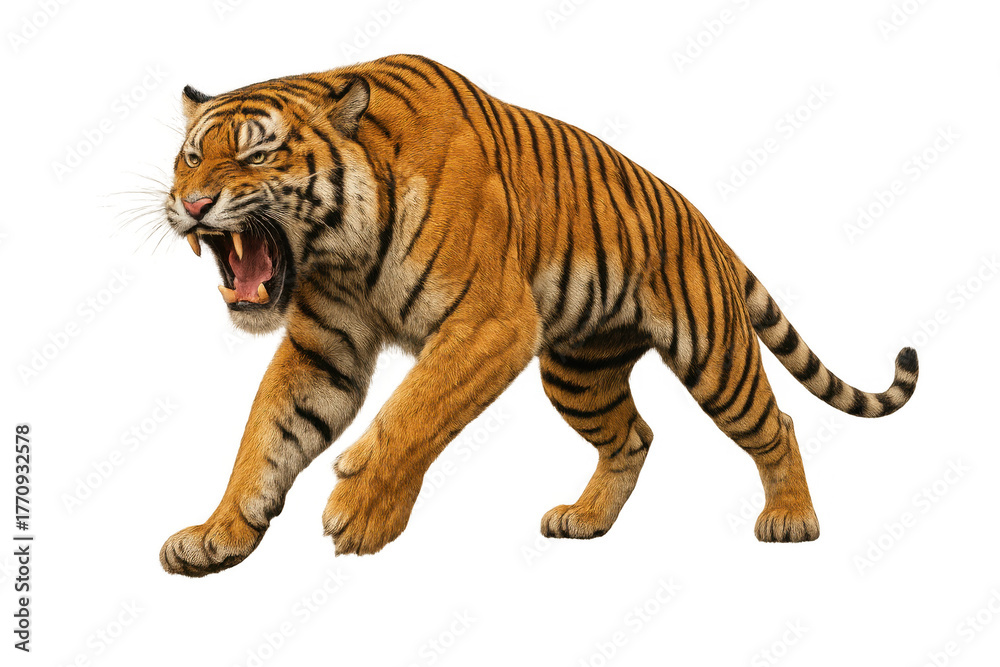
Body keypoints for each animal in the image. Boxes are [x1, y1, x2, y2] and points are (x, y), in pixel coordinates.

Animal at [158, 54, 918, 577]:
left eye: (258, 154)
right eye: (191, 157)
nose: (191, 204)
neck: (341, 250)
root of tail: (704, 223)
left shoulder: (491, 323)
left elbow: (414, 411)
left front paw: (363, 506)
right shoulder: (325, 347)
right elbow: (267, 435)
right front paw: (217, 533)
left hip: (714, 355)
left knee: (776, 424)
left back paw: (791, 519)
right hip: (579, 373)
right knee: (633, 436)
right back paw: (585, 518)